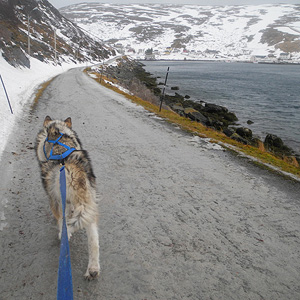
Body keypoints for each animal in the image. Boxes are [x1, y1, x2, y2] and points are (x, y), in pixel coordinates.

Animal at [36, 116, 99, 280]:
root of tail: (76, 175)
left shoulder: (55, 200)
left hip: (60, 201)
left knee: (63, 224)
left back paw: (63, 235)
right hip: (89, 207)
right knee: (94, 241)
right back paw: (93, 269)